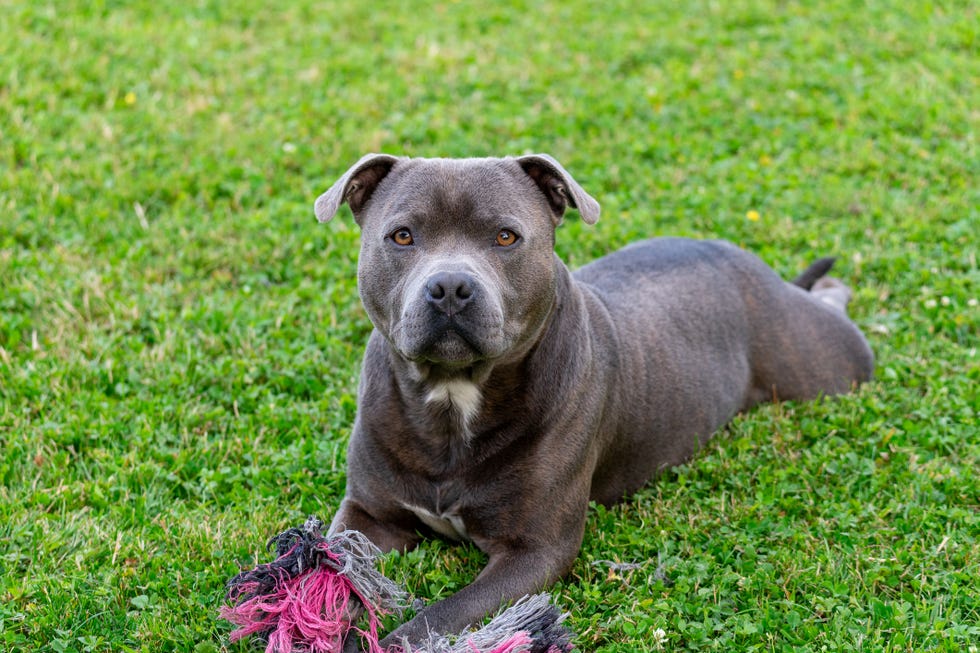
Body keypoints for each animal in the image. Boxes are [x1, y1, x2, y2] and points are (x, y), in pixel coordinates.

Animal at [314, 154, 872, 648]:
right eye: (402, 236)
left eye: (506, 236)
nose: (450, 285)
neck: (453, 398)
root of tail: (746, 260)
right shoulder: (368, 513)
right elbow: (333, 569)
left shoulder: (535, 552)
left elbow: (441, 615)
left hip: (829, 362)